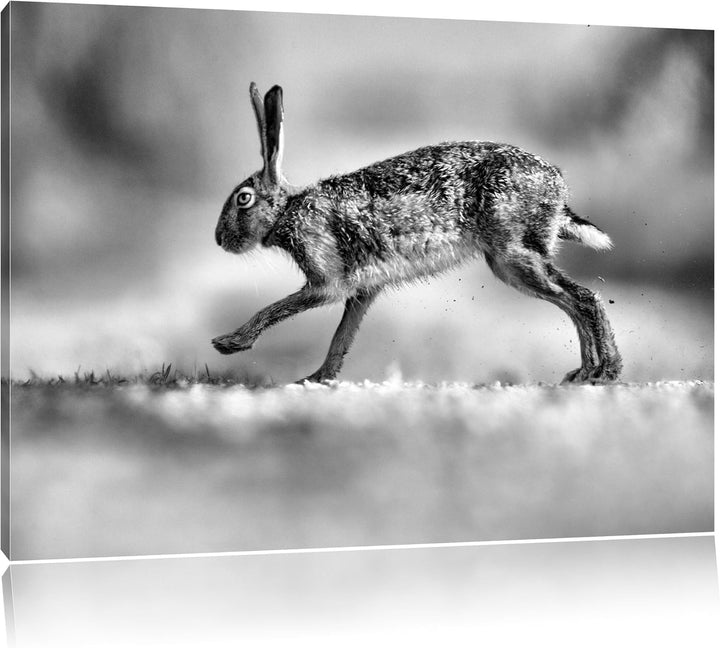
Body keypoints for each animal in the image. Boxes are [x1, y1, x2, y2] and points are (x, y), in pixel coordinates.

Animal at [212, 82, 622, 385]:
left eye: (243, 199)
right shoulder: (363, 290)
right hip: (511, 260)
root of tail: (558, 187)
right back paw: (587, 371)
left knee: (583, 299)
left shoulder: (327, 282)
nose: (219, 240)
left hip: (513, 255)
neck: (287, 211)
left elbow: (278, 308)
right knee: (575, 300)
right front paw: (316, 379)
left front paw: (229, 343)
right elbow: (341, 337)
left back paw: (603, 372)